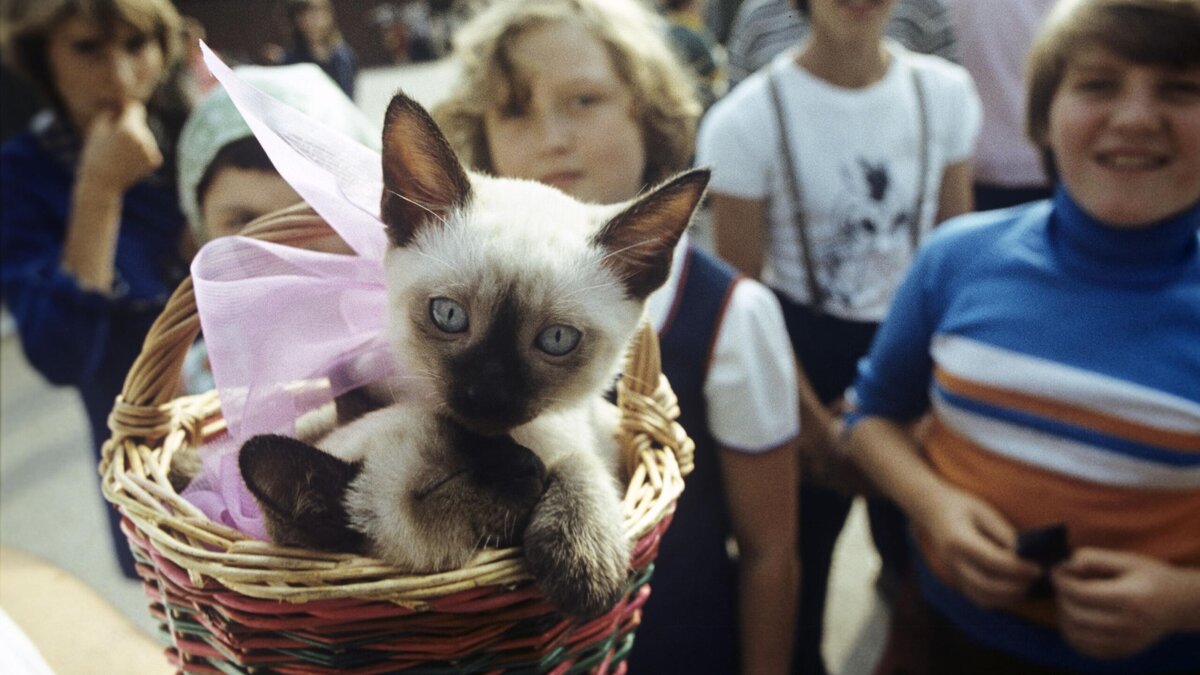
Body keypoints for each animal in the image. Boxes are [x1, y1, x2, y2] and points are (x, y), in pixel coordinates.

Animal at [236, 91, 700, 619]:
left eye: (557, 340)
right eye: (450, 315)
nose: (488, 395)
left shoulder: (577, 434)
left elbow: (579, 466)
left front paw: (582, 569)